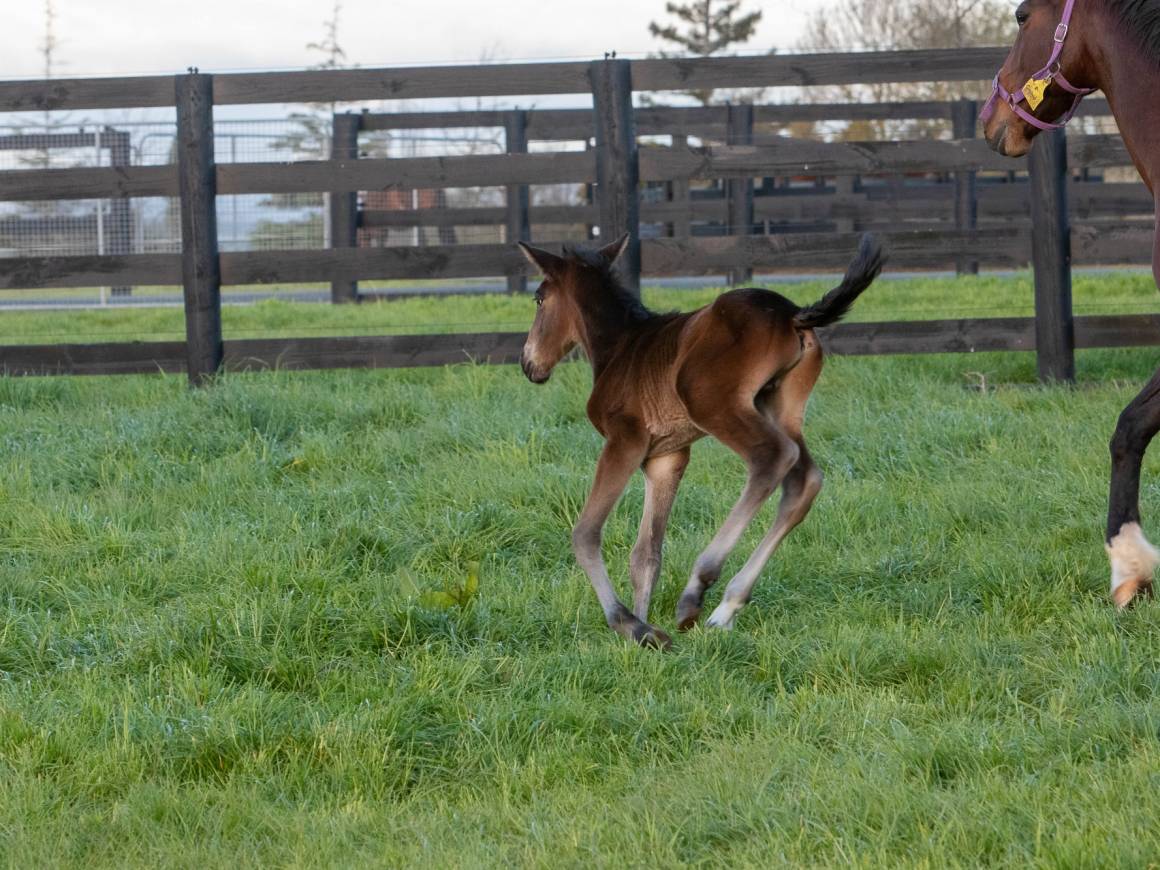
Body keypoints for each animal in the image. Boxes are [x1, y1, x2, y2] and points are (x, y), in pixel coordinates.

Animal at [522, 235, 881, 649]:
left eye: (539, 298)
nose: (528, 364)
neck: (619, 347)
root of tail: (792, 315)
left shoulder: (625, 439)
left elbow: (585, 533)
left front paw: (632, 625)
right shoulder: (666, 457)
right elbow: (646, 554)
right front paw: (642, 631)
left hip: (712, 402)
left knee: (774, 458)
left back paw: (697, 589)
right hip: (781, 406)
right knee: (804, 479)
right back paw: (726, 607)